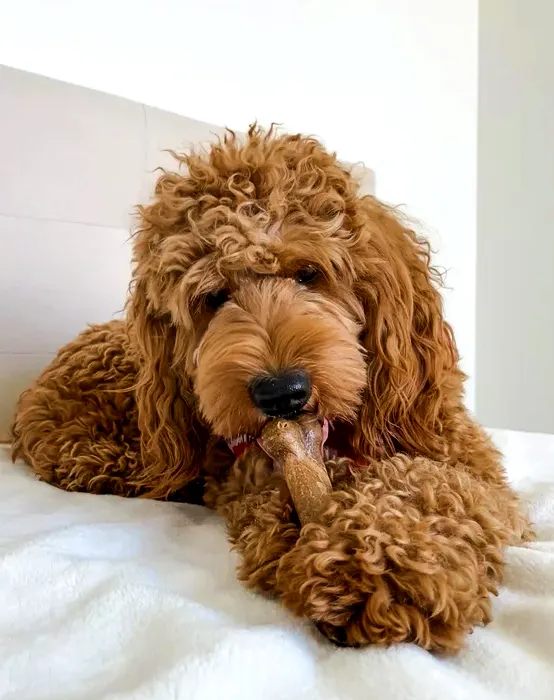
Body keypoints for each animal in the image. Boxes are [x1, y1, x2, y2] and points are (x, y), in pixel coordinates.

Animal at [11, 124, 528, 652]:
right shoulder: (250, 471)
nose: (281, 393)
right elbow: (273, 496)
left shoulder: (466, 459)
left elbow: (436, 484)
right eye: (214, 297)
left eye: (309, 273)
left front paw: (383, 563)